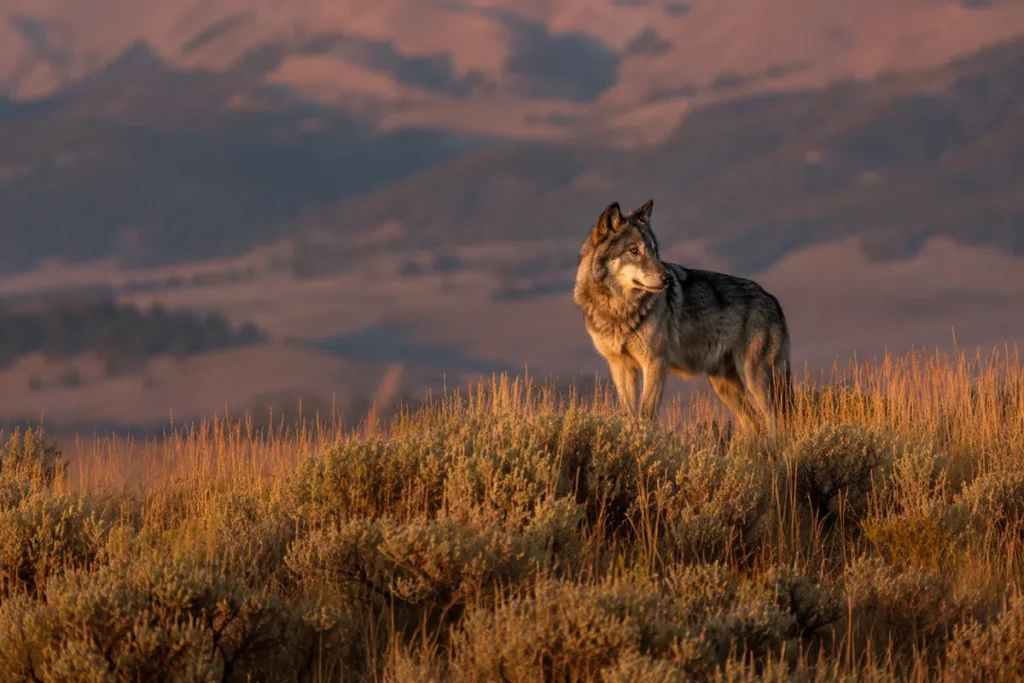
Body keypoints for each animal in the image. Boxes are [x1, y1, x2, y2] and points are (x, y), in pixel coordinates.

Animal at [573, 199, 794, 431]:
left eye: (654, 251)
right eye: (634, 250)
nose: (667, 278)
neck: (618, 309)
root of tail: (772, 298)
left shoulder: (655, 362)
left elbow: (646, 414)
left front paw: (645, 437)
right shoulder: (621, 367)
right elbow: (628, 415)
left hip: (758, 378)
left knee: (776, 423)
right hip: (724, 385)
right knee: (755, 423)